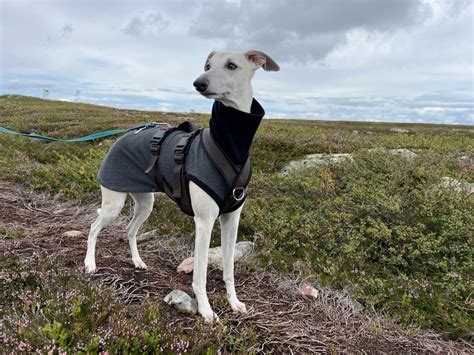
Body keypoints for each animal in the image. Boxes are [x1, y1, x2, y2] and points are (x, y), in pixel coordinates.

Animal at [84, 50, 278, 326]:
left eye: (232, 65)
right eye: (207, 65)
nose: (199, 83)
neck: (230, 148)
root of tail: (122, 137)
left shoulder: (231, 221)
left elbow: (229, 269)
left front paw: (234, 302)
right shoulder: (204, 222)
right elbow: (201, 275)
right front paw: (206, 310)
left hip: (145, 203)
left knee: (130, 230)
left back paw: (137, 261)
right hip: (114, 203)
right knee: (93, 227)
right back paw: (90, 263)